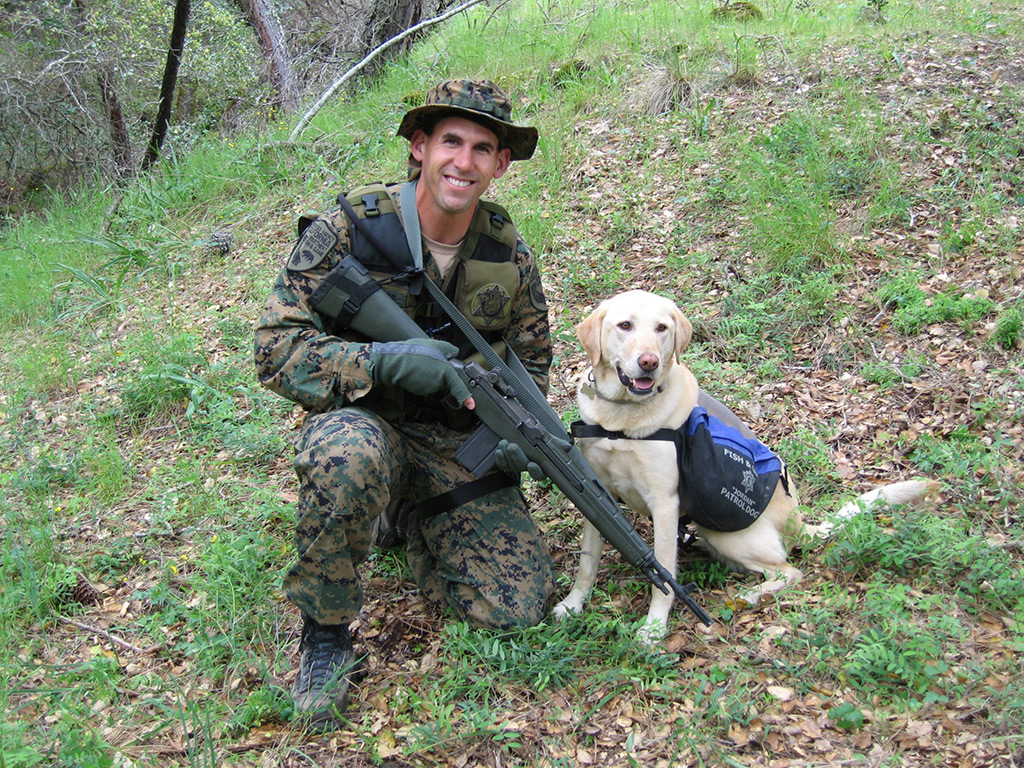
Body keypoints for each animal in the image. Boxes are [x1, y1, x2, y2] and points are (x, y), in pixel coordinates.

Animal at [552, 290, 937, 643]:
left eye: (662, 328)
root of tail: (799, 524)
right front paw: (573, 604)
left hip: (728, 534)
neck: (621, 420)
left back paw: (746, 597)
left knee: (787, 572)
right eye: (624, 326)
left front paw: (654, 628)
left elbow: (663, 579)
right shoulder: (595, 493)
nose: (649, 362)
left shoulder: (664, 503)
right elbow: (588, 561)